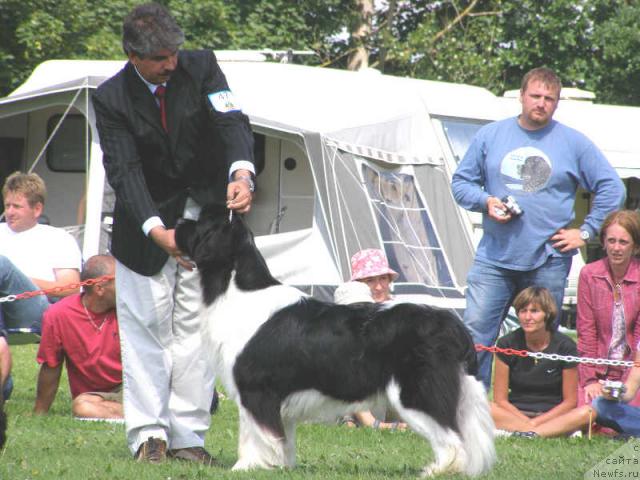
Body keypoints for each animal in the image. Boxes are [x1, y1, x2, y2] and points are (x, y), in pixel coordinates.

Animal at [178, 203, 498, 476]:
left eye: (201, 221)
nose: (179, 222)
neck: (235, 289)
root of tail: (453, 325)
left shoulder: (256, 391)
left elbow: (256, 435)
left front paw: (248, 467)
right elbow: (282, 439)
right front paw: (281, 466)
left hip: (417, 392)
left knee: (452, 440)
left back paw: (436, 470)